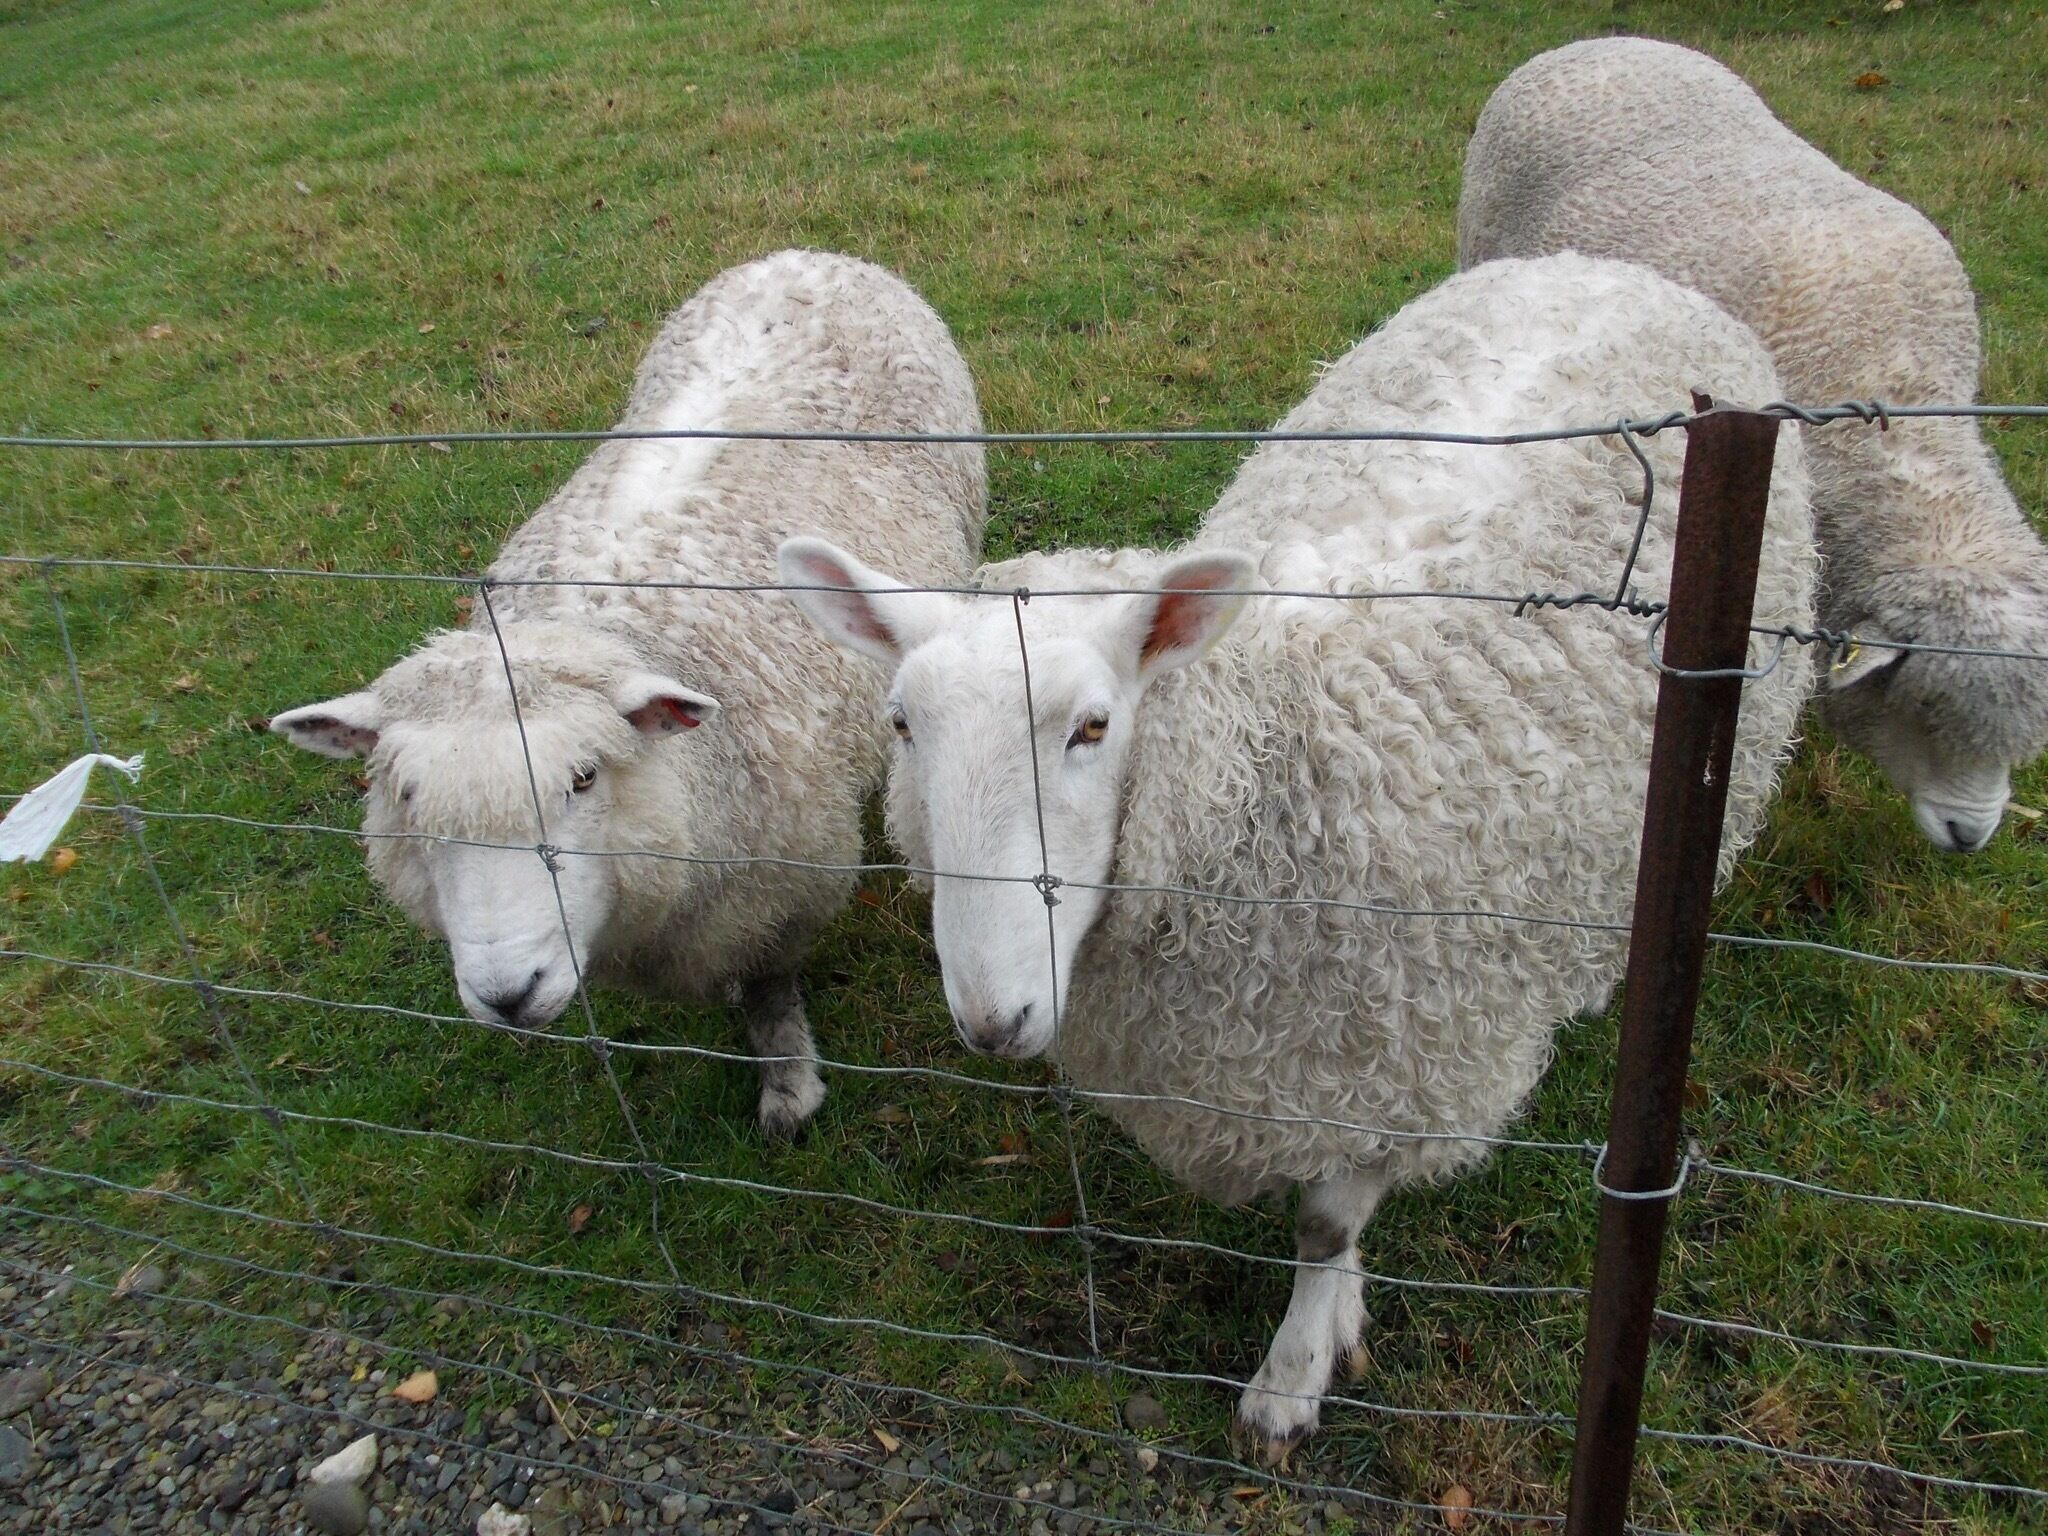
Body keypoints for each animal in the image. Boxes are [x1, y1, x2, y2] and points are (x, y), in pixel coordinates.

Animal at [272, 249, 986, 1138]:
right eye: (406, 797)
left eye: (583, 778)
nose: (508, 994)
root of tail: (803, 255)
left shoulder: (783, 890)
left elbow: (769, 989)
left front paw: (788, 1087)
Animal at [779, 253, 1818, 1458]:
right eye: (901, 724)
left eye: (1093, 726)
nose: (994, 1021)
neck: (1268, 771)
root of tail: (1612, 267)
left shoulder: (1393, 1057)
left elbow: (1323, 1227)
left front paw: (1295, 1368)